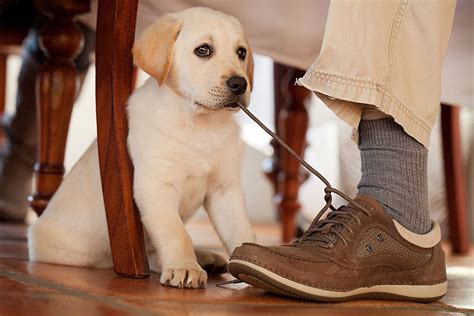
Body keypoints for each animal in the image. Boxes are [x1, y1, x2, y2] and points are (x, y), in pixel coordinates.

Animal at [27, 7, 258, 288]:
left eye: (241, 52)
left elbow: (242, 230)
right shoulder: (155, 187)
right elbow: (176, 233)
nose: (240, 84)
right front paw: (184, 267)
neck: (199, 124)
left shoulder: (225, 191)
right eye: (203, 50)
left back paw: (206, 258)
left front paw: (251, 262)